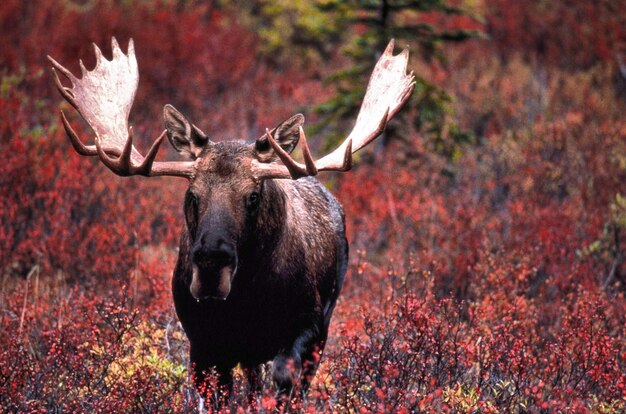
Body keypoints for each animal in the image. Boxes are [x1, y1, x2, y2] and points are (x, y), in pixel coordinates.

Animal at [48, 38, 414, 394]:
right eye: (192, 194)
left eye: (253, 195)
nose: (212, 263)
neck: (245, 301)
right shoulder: (203, 342)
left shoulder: (307, 327)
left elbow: (284, 381)